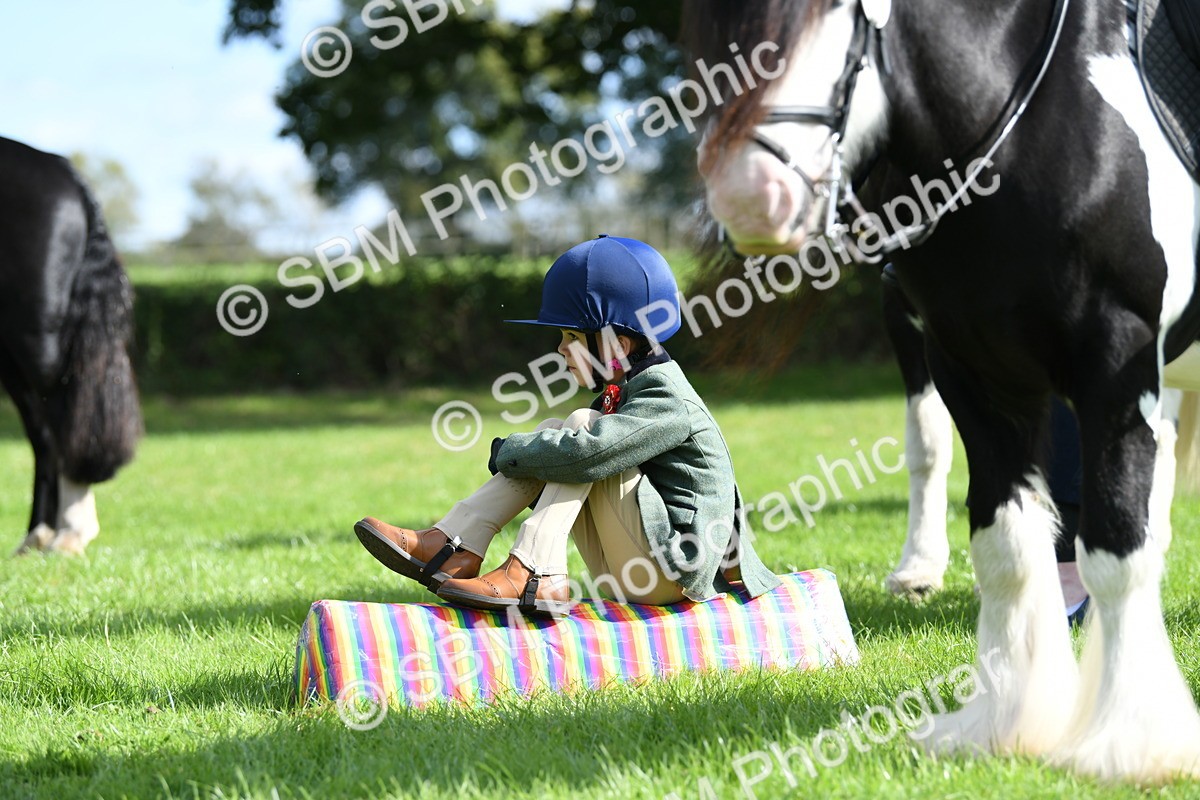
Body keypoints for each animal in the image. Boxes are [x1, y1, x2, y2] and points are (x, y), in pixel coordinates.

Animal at [0, 136, 142, 556]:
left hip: (35, 338)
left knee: (60, 418)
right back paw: (38, 535)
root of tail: (66, 175)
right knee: (43, 433)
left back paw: (70, 531)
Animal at [686, 0, 1200, 782]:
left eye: (839, 19)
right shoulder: (966, 366)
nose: (750, 197)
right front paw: (1003, 722)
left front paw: (1129, 743)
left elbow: (1116, 544)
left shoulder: (1116, 363)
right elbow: (1005, 541)